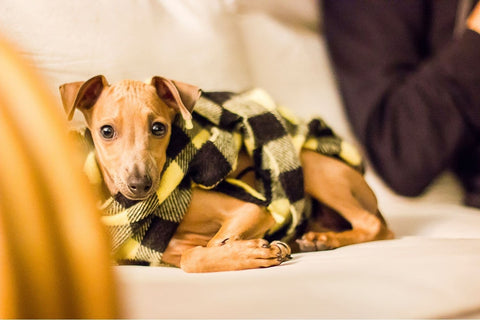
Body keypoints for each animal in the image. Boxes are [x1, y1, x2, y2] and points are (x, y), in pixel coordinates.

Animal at [59, 74, 394, 272]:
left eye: (159, 128)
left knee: (373, 225)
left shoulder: (253, 210)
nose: (139, 184)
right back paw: (312, 239)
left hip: (311, 167)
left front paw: (248, 252)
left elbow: (208, 247)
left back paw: (324, 238)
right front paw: (247, 252)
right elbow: (192, 255)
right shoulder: (163, 252)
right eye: (106, 131)